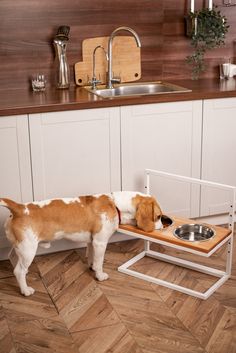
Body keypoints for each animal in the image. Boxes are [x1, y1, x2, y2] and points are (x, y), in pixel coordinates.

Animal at [0, 190, 162, 294]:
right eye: (159, 216)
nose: (163, 226)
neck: (115, 204)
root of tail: (19, 208)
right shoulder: (100, 242)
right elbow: (99, 262)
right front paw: (100, 275)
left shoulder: (91, 242)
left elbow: (91, 257)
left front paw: (92, 267)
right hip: (28, 250)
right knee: (19, 271)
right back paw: (25, 290)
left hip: (18, 249)